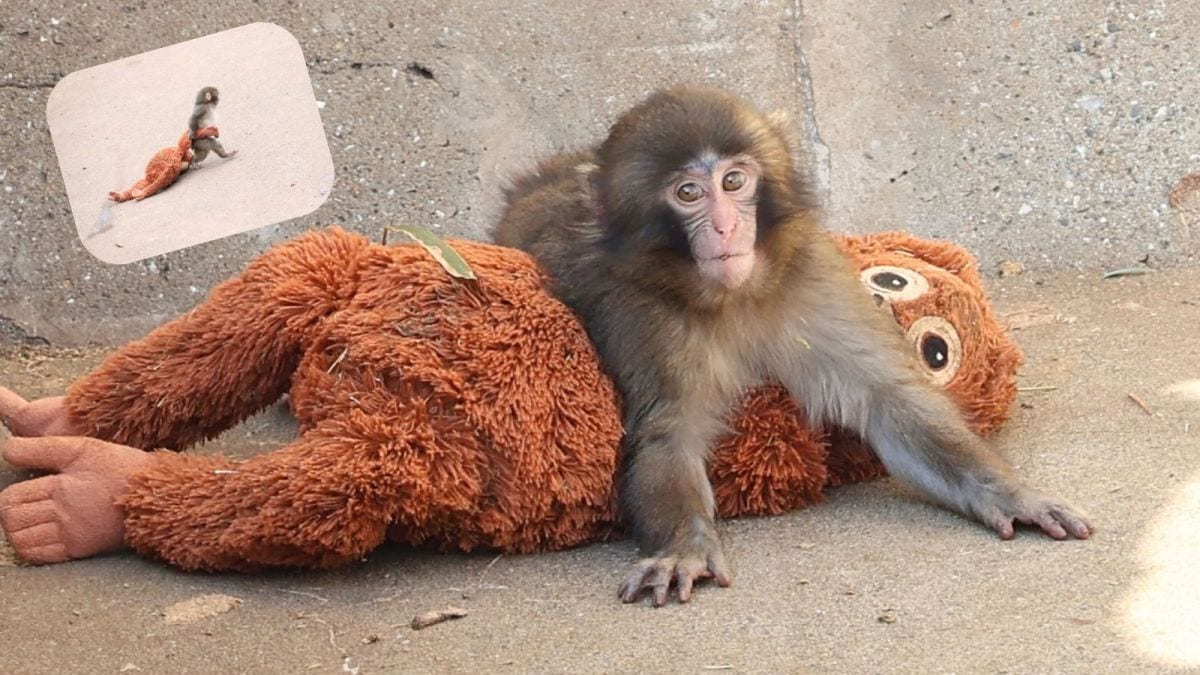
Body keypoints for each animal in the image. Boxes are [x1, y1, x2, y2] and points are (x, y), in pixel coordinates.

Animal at [492, 85, 1093, 607]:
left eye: (734, 180)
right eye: (688, 193)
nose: (725, 226)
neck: (736, 297)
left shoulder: (813, 280)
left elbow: (889, 404)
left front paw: (1011, 494)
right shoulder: (639, 313)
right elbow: (668, 434)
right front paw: (683, 548)